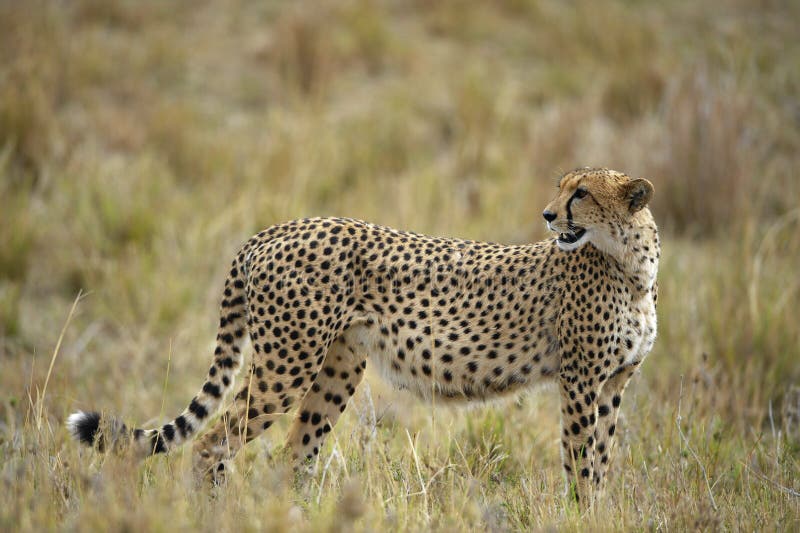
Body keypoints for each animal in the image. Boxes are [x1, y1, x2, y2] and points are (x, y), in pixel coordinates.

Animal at [67, 167, 656, 508]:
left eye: (581, 192)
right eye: (562, 188)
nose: (549, 214)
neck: (631, 267)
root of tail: (274, 229)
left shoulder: (612, 385)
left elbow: (601, 457)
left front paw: (598, 513)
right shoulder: (580, 380)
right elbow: (580, 458)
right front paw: (581, 514)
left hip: (337, 367)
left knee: (293, 455)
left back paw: (300, 516)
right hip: (287, 364)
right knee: (213, 443)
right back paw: (209, 514)